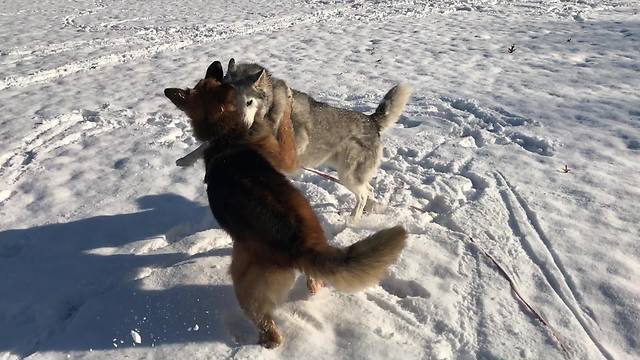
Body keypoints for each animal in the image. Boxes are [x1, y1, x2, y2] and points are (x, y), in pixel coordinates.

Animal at [162, 62, 408, 348]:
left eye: (249, 101)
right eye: (234, 98)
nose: (245, 125)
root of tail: (371, 120)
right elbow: (203, 146)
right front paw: (185, 159)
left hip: (347, 175)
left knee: (363, 194)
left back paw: (354, 219)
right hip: (347, 177)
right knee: (368, 191)